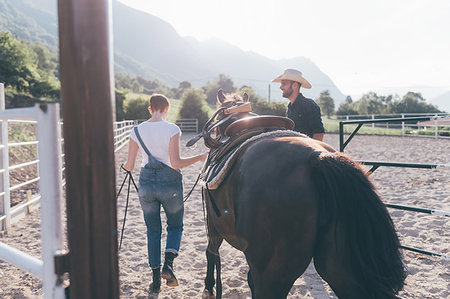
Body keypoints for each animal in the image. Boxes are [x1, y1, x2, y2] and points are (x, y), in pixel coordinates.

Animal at [195, 89, 406, 299]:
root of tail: (317, 157)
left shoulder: (213, 224)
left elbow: (211, 252)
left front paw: (208, 287)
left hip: (273, 273)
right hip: (341, 269)